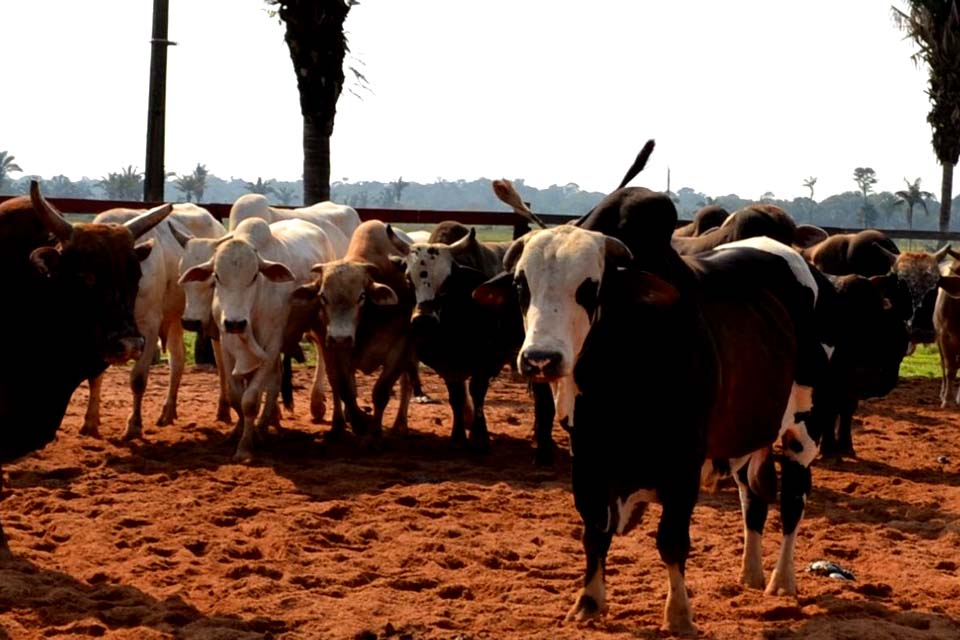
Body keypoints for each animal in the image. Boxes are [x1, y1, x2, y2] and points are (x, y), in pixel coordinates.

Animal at [81, 205, 226, 440]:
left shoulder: (148, 329)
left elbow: (138, 379)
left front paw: (134, 425)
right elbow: (94, 375)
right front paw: (90, 422)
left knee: (221, 363)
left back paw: (223, 409)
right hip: (176, 318)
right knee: (178, 360)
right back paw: (168, 412)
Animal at [179, 219, 334, 460]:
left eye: (254, 276)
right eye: (217, 276)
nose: (235, 323)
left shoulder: (270, 345)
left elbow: (250, 400)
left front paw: (245, 447)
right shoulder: (226, 346)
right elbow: (237, 397)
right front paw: (241, 431)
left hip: (316, 326)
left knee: (319, 356)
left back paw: (314, 407)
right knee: (276, 379)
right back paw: (266, 424)